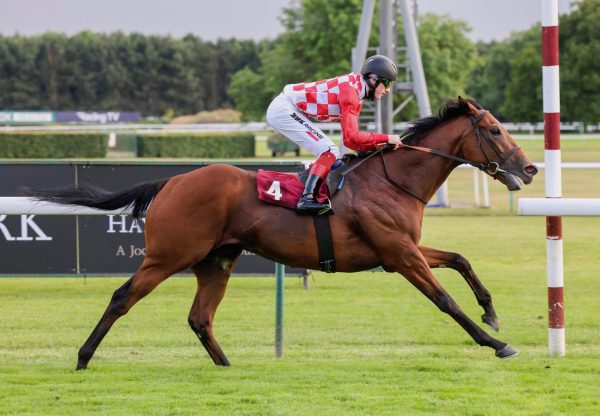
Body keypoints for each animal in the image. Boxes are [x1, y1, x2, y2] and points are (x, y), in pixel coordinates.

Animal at [28, 96, 536, 368]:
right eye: (494, 130)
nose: (529, 169)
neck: (393, 179)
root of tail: (171, 181)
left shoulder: (401, 250)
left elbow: (460, 259)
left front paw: (492, 314)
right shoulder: (400, 255)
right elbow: (445, 300)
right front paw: (496, 343)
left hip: (216, 262)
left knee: (200, 318)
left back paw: (228, 367)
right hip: (168, 256)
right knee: (122, 297)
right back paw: (83, 357)